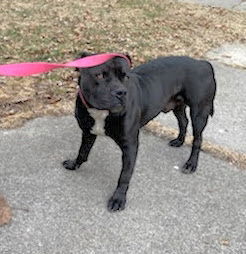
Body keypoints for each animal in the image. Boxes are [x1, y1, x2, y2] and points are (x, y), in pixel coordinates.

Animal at [62, 52, 216, 211]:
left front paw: (118, 198)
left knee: (198, 139)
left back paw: (191, 164)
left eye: (126, 77)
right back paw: (179, 141)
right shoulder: (88, 132)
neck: (101, 112)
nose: (121, 92)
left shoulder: (130, 146)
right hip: (177, 105)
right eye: (99, 75)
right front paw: (74, 164)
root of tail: (202, 63)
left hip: (199, 112)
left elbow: (124, 174)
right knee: (183, 122)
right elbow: (82, 151)